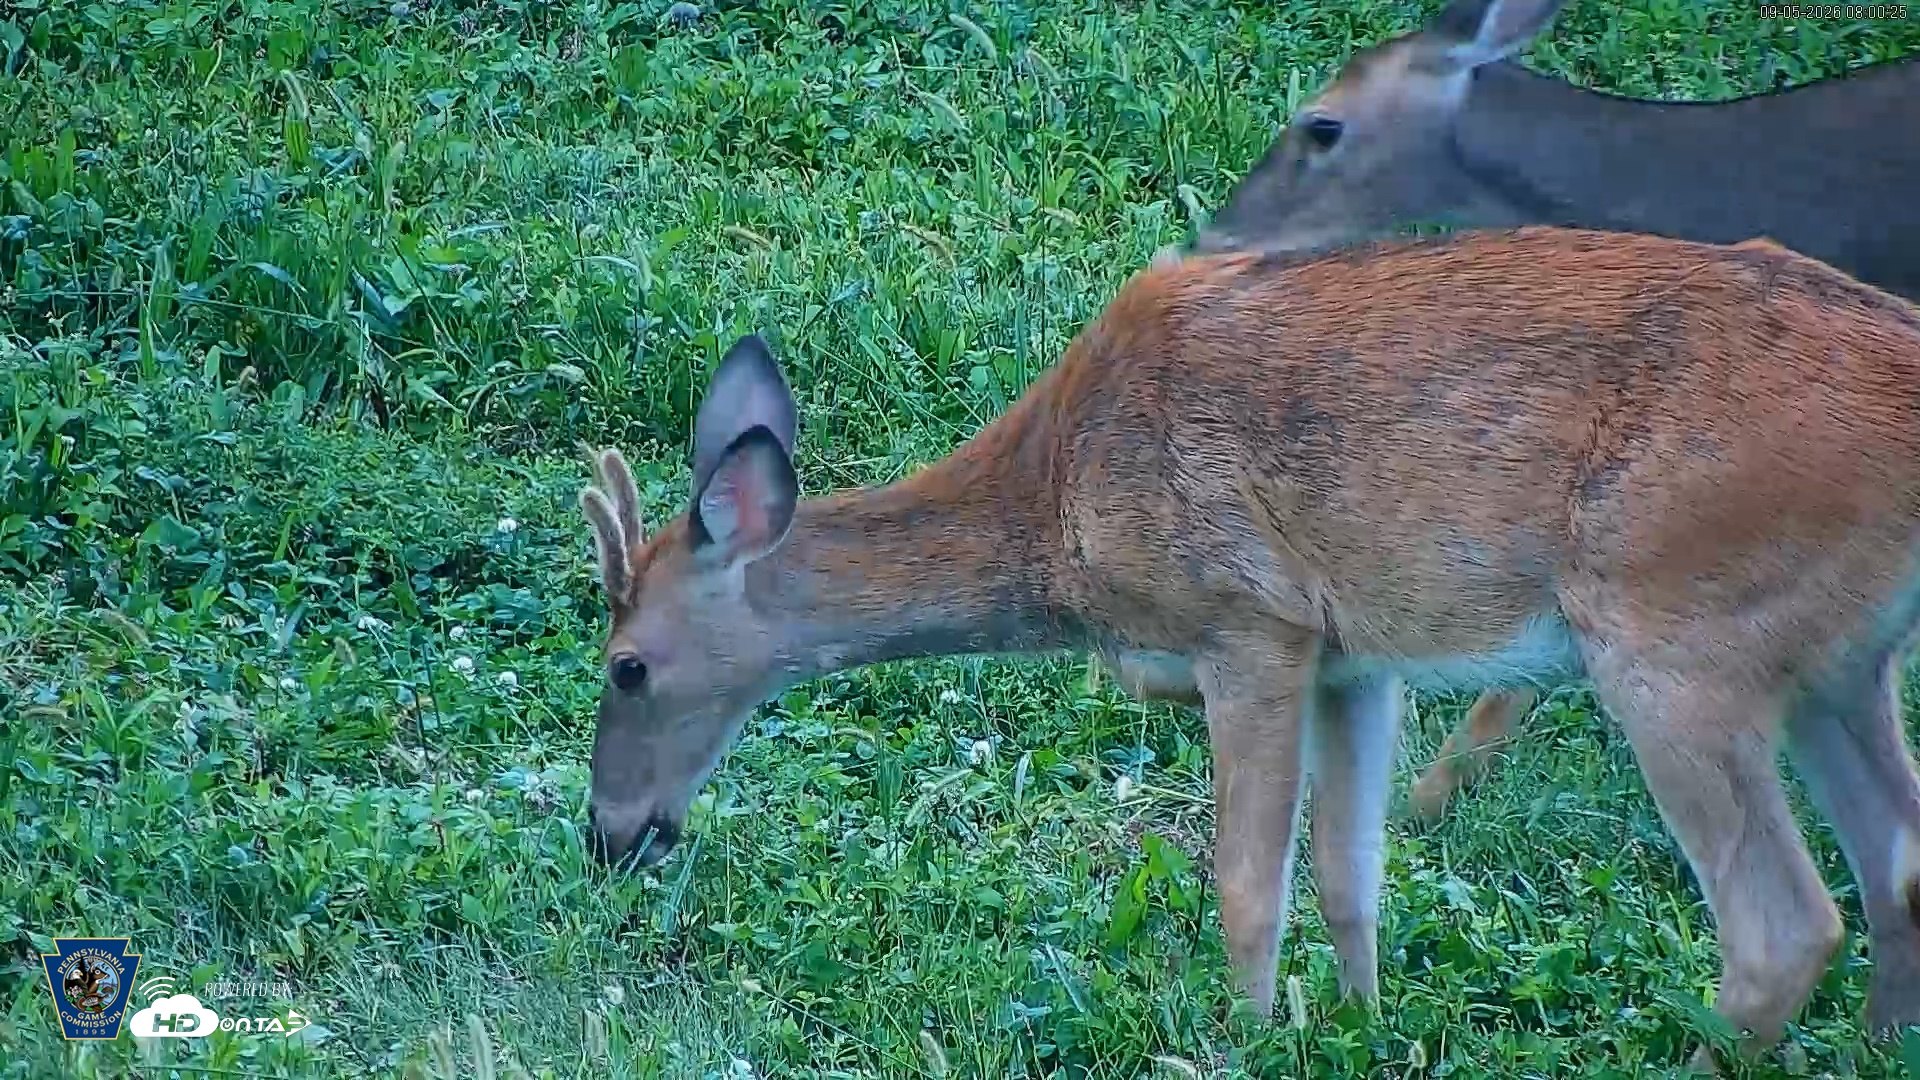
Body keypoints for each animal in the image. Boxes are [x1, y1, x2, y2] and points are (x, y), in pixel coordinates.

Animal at [579, 226, 1920, 1064]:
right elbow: (1348, 877)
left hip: (1672, 624)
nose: (609, 838)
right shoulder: (1356, 654)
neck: (1059, 501)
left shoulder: (1248, 620)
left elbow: (1244, 886)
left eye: (626, 665)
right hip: (1836, 662)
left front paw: (1244, 1035)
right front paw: (1363, 1030)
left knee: (1787, 926)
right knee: (1895, 873)